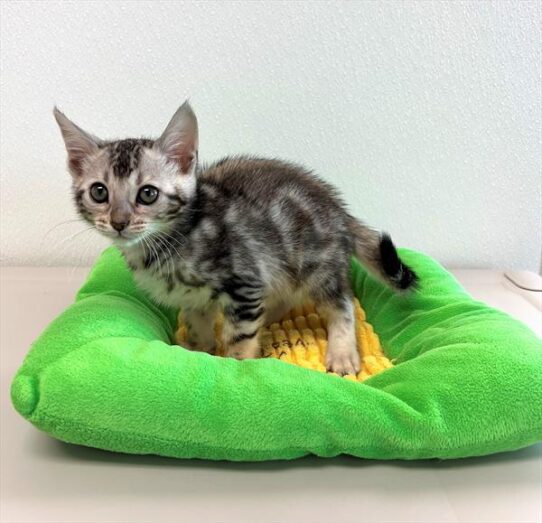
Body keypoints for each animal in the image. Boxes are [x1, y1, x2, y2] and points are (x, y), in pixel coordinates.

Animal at [55, 101, 418, 376]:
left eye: (147, 194)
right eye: (99, 192)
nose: (119, 222)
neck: (172, 241)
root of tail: (337, 205)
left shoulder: (244, 280)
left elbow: (239, 340)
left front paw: (236, 368)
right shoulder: (195, 298)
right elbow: (199, 325)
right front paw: (197, 349)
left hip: (315, 265)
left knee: (342, 303)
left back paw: (342, 353)